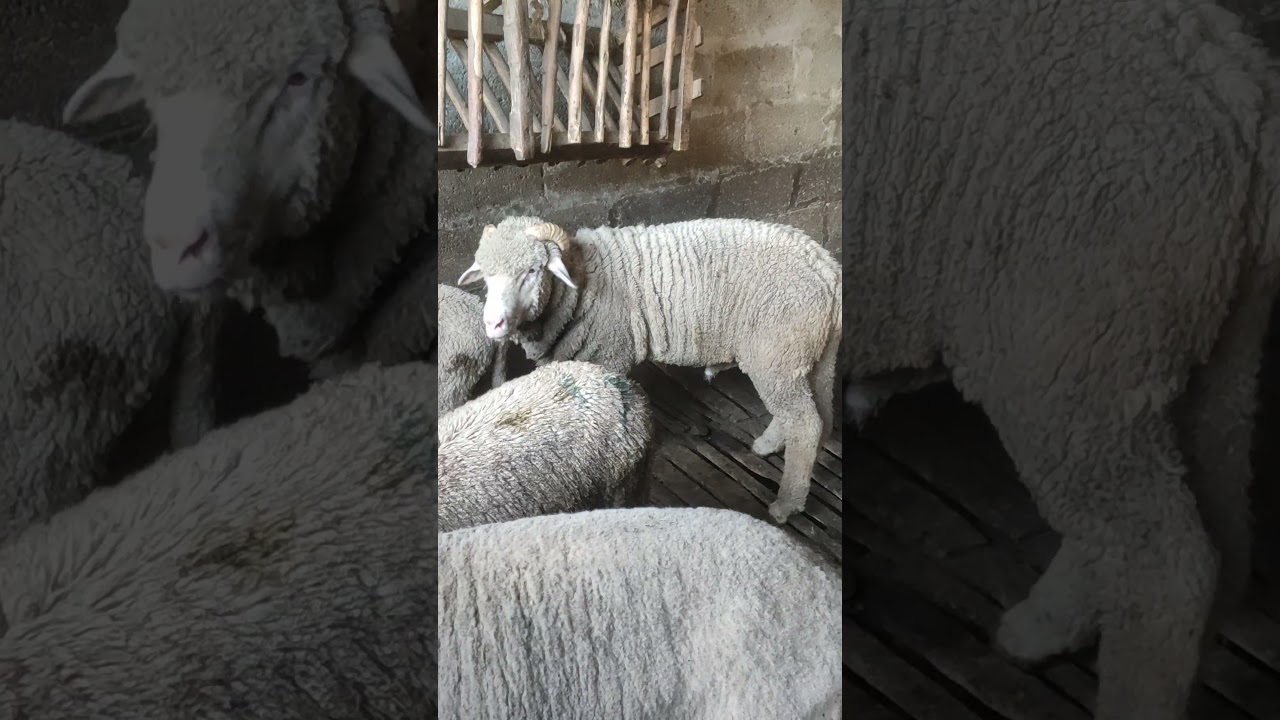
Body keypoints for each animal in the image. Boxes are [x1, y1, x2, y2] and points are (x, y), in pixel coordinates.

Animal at [457, 216, 841, 525]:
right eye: (486, 275)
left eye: (533, 270)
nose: (493, 324)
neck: (580, 283)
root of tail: (827, 269)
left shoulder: (610, 355)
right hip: (810, 354)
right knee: (817, 412)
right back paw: (771, 446)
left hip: (777, 352)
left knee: (805, 422)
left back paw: (787, 504)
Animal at [846, 1, 1280, 717]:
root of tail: (1235, 84)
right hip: (1210, 343)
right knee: (1220, 533)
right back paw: (1047, 627)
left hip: (1067, 339)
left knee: (1164, 568)